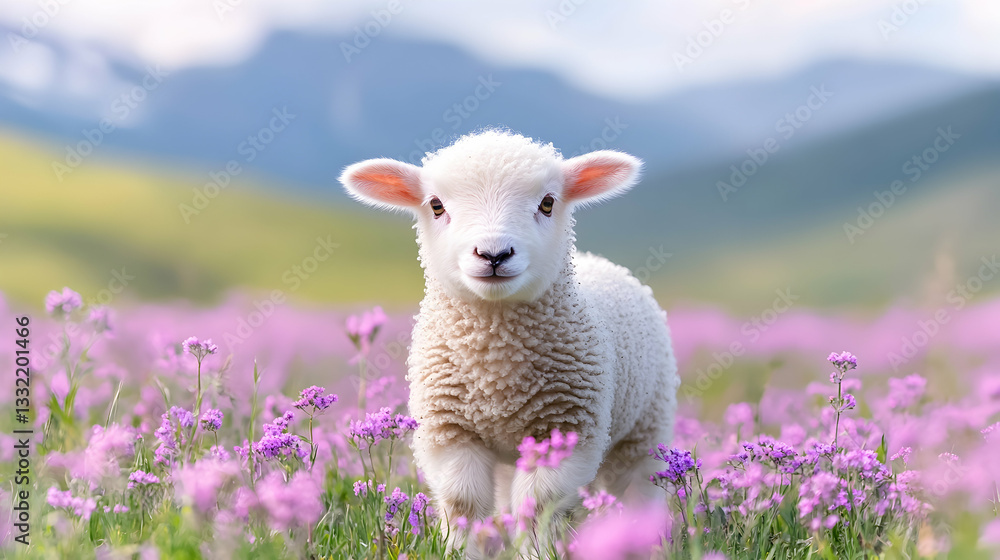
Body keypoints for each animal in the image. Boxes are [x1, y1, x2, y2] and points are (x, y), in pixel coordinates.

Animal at [339, 129, 679, 550]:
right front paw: (463, 551)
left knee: (636, 490)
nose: (494, 254)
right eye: (436, 205)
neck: (497, 365)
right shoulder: (450, 431)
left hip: (645, 426)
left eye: (548, 203)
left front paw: (537, 552)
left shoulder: (564, 429)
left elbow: (538, 506)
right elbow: (463, 504)